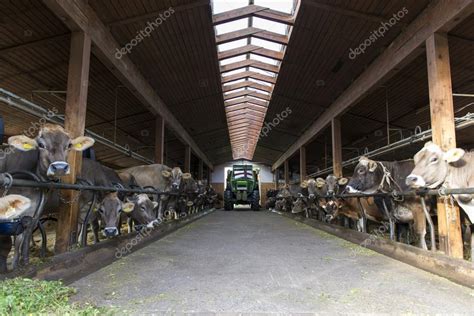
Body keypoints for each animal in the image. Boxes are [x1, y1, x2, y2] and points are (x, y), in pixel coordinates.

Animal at [0, 123, 94, 272]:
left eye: (69, 145)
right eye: (41, 145)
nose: (60, 167)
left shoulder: (30, 213)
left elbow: (20, 241)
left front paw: (16, 265)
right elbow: (6, 242)